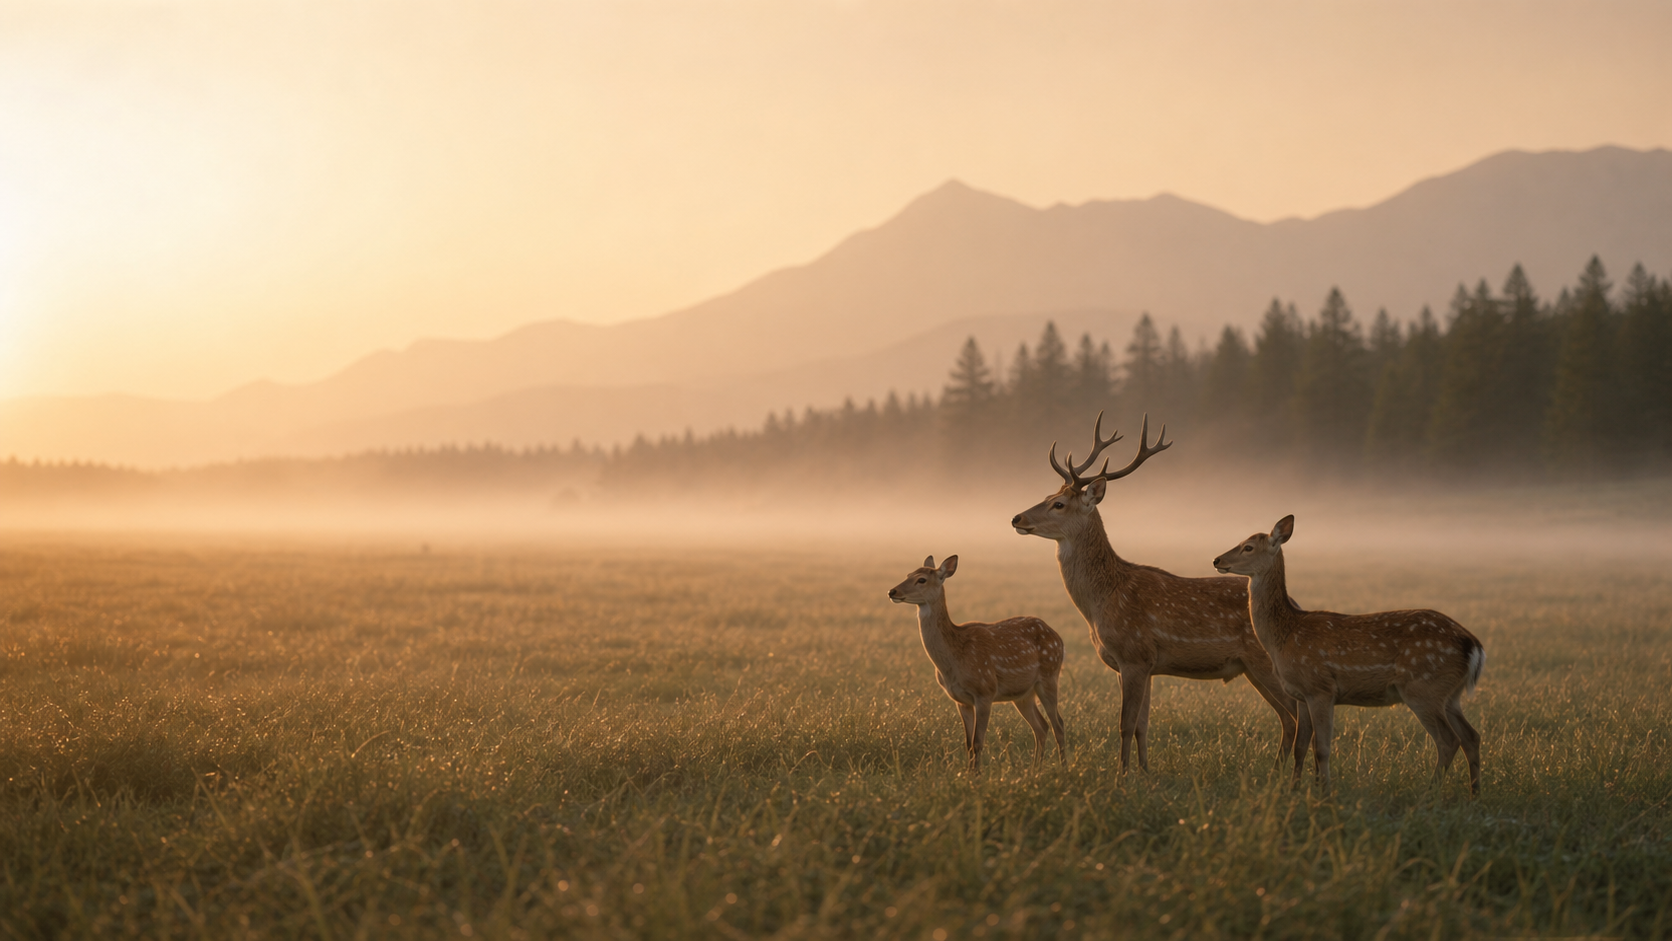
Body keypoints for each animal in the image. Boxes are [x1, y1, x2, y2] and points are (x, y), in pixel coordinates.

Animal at [888, 555, 1068, 772]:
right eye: (908, 574)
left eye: (921, 579)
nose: (892, 591)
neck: (954, 662)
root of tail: (1058, 638)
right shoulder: (960, 700)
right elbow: (968, 743)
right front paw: (968, 773)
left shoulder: (985, 691)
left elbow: (978, 742)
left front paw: (977, 775)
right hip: (1023, 693)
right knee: (1041, 726)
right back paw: (1035, 770)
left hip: (1050, 675)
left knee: (1059, 724)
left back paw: (1064, 769)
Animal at [1011, 414, 1299, 771]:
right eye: (1047, 494)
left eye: (1059, 504)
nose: (1017, 518)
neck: (1101, 602)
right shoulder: (1144, 664)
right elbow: (1142, 725)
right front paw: (1145, 773)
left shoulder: (1133, 654)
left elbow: (1125, 724)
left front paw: (1120, 775)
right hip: (1254, 668)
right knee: (1289, 717)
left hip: (1264, 661)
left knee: (1295, 715)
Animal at [1213, 515, 1485, 794]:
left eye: (1248, 547)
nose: (1217, 560)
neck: (1284, 637)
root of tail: (1473, 645)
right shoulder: (1301, 693)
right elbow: (1302, 746)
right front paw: (1295, 790)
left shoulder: (1320, 688)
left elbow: (1322, 749)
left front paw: (1324, 794)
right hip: (1450, 694)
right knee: (1472, 736)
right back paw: (1474, 793)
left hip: (1423, 688)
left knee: (1448, 740)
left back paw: (1430, 792)